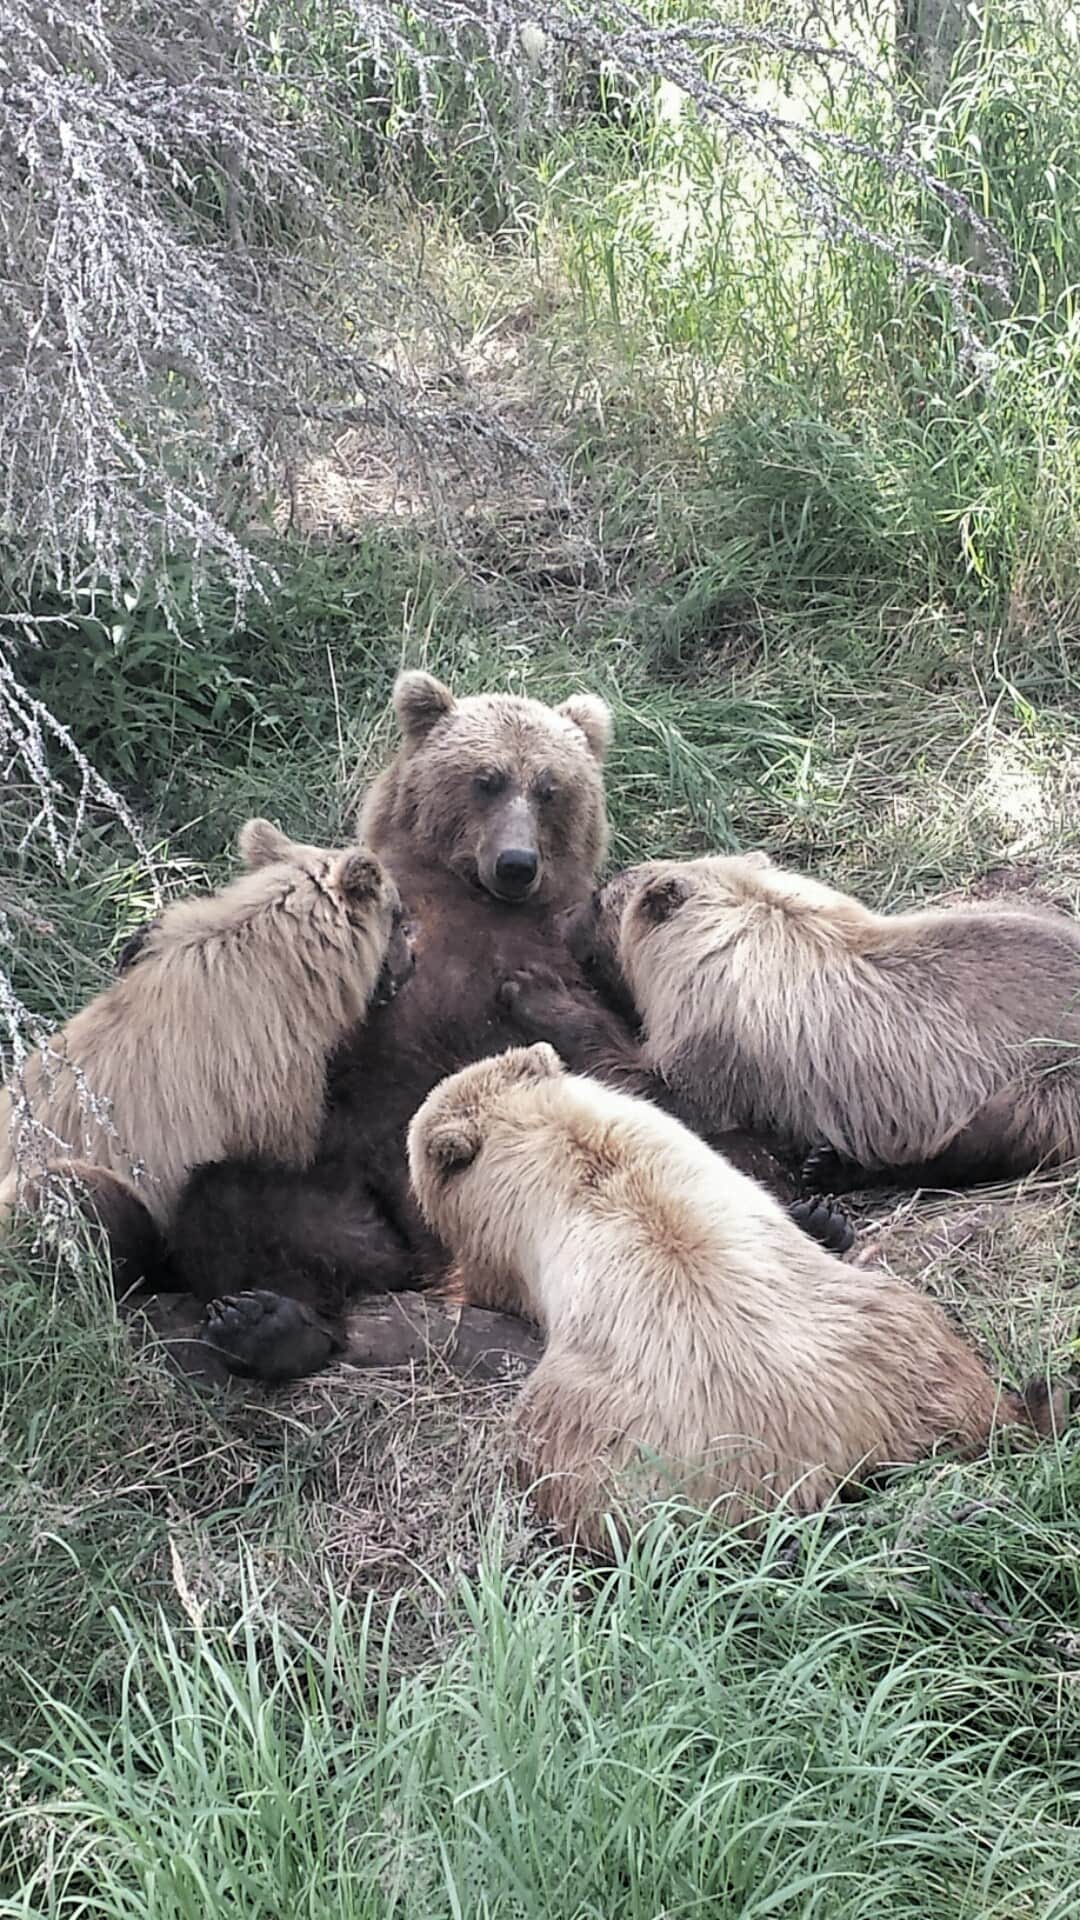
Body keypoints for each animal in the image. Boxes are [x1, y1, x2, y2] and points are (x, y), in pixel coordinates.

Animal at [167, 674, 854, 1383]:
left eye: (550, 787)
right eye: (487, 779)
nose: (517, 864)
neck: (478, 903)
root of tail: (456, 1272)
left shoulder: (585, 953)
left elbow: (636, 1065)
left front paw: (534, 1004)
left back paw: (814, 1210)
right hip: (368, 1212)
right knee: (237, 1202)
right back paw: (269, 1323)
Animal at [407, 1044, 1064, 1553]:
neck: (549, 1132)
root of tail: (823, 1454)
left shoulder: (503, 1238)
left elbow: (492, 1285)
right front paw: (820, 1218)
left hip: (618, 1440)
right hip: (896, 1334)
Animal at [561, 851, 1080, 1196]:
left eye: (599, 899)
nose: (567, 925)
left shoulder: (718, 1045)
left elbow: (665, 1094)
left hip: (1045, 1079)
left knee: (985, 1138)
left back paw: (833, 1167)